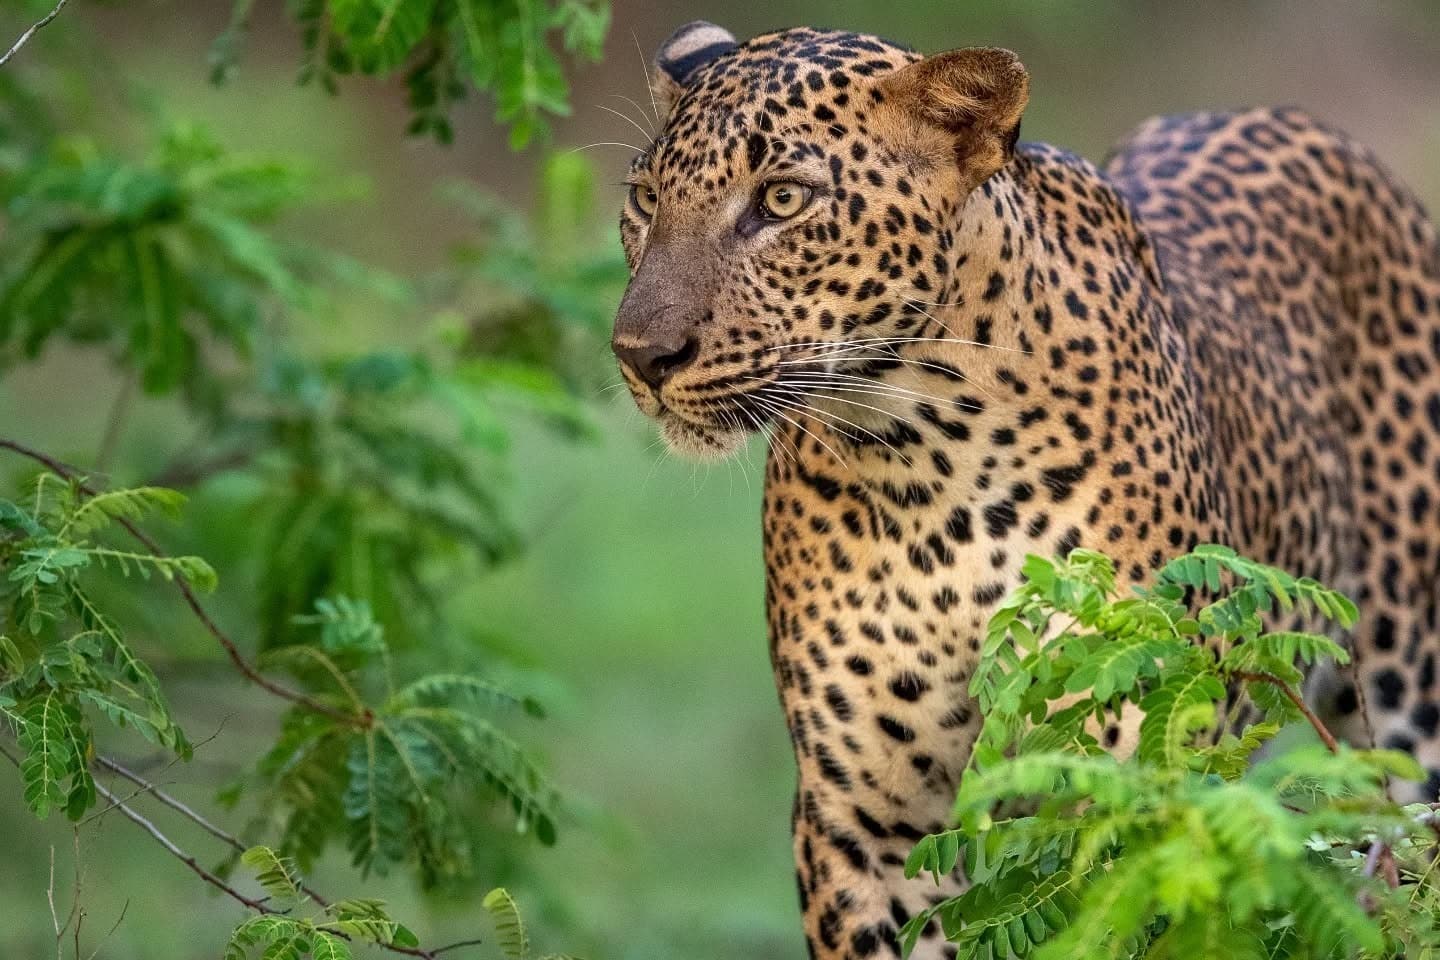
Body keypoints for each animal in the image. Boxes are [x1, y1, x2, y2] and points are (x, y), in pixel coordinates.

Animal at [609, 20, 1440, 960]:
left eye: (782, 200)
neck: (925, 461)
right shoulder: (864, 821)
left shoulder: (1133, 780)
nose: (640, 355)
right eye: (645, 198)